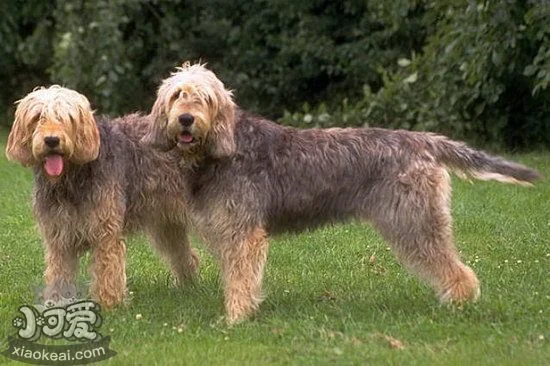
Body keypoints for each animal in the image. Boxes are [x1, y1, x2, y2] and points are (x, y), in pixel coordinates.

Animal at [5, 86, 199, 308]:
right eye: (37, 117)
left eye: (67, 117)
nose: (52, 140)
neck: (70, 178)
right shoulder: (59, 239)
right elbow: (59, 273)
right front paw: (57, 302)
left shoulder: (105, 233)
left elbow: (107, 272)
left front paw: (109, 305)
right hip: (167, 225)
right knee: (186, 255)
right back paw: (187, 286)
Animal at [142, 63, 544, 324]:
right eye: (178, 95)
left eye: (205, 99)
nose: (186, 120)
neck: (221, 149)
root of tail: (423, 140)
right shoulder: (229, 232)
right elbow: (236, 275)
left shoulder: (244, 234)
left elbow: (241, 277)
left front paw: (236, 318)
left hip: (415, 222)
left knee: (456, 268)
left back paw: (459, 303)